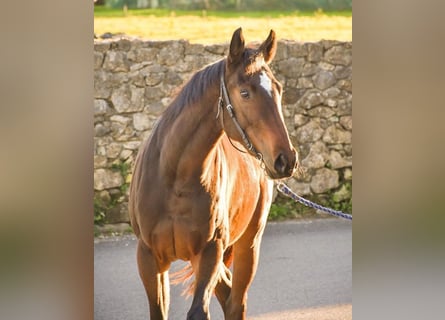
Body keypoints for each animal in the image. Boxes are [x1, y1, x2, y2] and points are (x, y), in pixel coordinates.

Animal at [128, 28, 298, 320]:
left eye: (278, 89)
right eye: (245, 92)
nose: (286, 159)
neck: (175, 178)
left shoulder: (209, 253)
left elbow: (199, 311)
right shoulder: (149, 258)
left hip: (248, 246)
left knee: (236, 302)